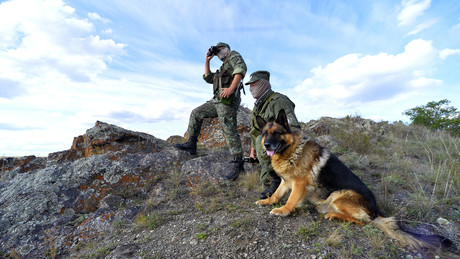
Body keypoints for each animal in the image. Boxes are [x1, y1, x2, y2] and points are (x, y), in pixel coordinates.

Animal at [256, 110, 454, 252]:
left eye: (277, 133)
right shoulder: (285, 182)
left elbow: (290, 200)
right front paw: (267, 202)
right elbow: (276, 194)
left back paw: (334, 215)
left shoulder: (299, 184)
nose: (266, 145)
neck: (291, 150)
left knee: (362, 222)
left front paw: (283, 211)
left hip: (341, 194)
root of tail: (376, 211)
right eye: (265, 133)